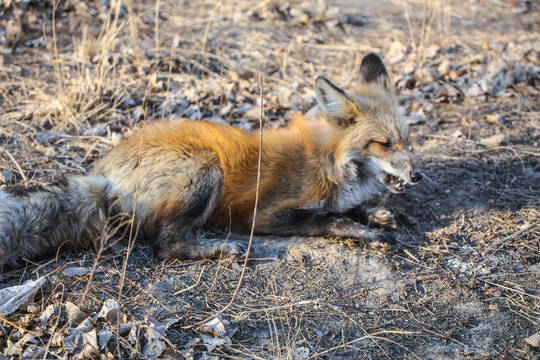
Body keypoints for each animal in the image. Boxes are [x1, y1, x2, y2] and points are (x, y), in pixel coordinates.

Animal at [0, 51, 422, 270]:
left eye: (406, 140)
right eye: (383, 144)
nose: (418, 176)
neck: (330, 161)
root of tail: (101, 174)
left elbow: (350, 209)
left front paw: (376, 214)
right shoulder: (263, 215)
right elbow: (328, 220)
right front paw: (365, 231)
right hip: (206, 171)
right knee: (163, 245)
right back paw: (219, 249)